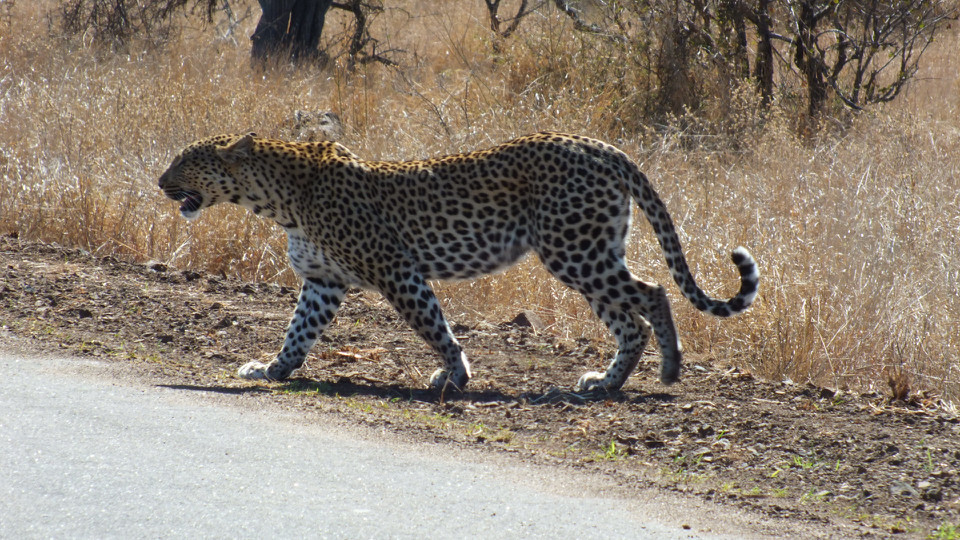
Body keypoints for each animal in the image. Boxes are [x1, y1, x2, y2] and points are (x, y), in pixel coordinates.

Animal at [159, 131, 756, 392]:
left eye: (185, 162)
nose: (160, 182)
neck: (276, 199)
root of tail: (599, 144)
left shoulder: (396, 270)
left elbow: (433, 326)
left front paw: (457, 374)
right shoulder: (323, 281)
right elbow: (298, 332)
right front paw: (274, 369)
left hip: (573, 252)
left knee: (653, 295)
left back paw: (670, 368)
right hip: (589, 251)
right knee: (629, 320)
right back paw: (605, 382)